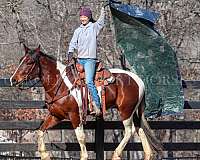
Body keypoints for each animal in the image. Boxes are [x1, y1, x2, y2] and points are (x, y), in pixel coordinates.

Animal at [9, 44, 162, 160]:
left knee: (129, 131)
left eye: (29, 62)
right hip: (134, 112)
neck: (62, 84)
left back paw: (116, 155)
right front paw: (45, 155)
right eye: (21, 59)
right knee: (140, 129)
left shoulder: (75, 116)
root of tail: (139, 80)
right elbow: (40, 131)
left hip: (125, 111)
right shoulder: (56, 116)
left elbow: (81, 138)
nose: (13, 80)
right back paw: (148, 155)